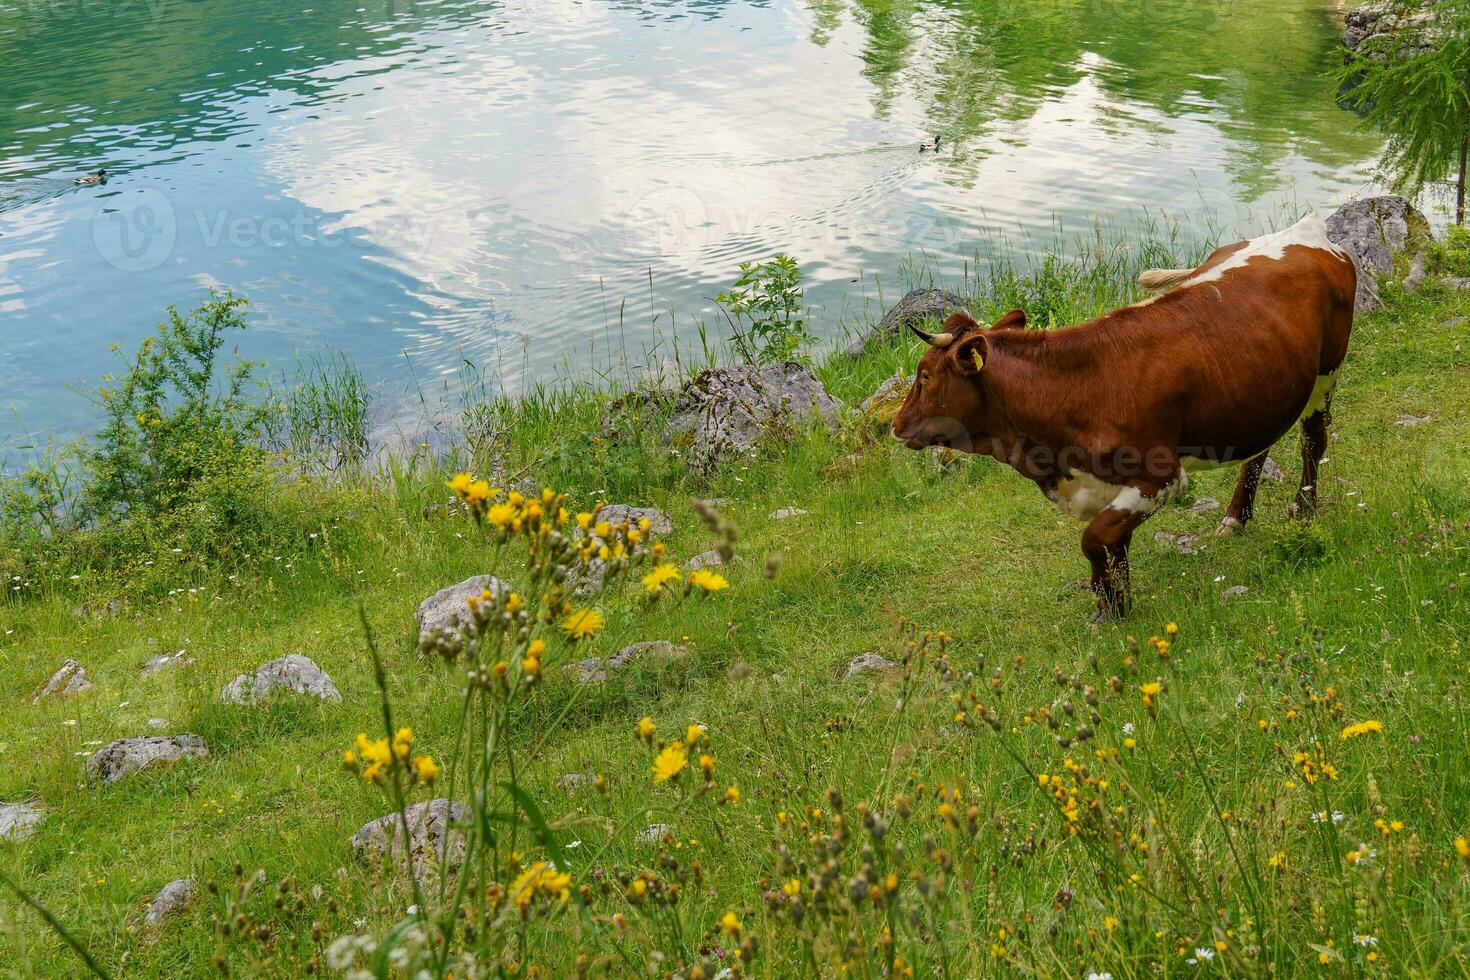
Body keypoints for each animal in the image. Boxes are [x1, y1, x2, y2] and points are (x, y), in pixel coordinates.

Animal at [882, 214, 1352, 620]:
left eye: (925, 375)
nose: (896, 425)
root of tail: (1305, 229)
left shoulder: (1159, 477)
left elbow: (1093, 540)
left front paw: (1109, 600)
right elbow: (1114, 545)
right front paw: (1115, 606)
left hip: (1326, 373)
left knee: (1313, 439)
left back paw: (1304, 508)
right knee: (1259, 450)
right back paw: (1235, 518)